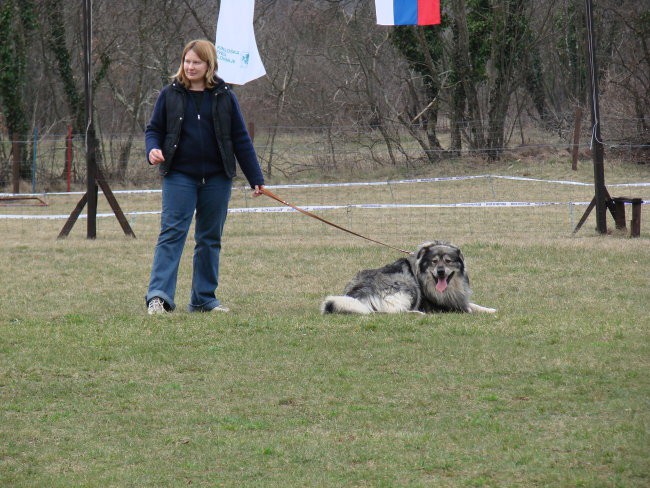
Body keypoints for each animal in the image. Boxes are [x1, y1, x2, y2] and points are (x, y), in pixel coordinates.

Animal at [320, 241, 496, 316]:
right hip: (407, 286)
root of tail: (358, 295)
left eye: (448, 261)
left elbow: (473, 304)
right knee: (393, 312)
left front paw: (490, 309)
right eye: (434, 262)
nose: (440, 272)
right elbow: (468, 308)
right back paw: (417, 313)